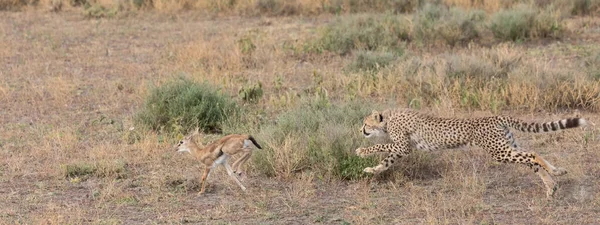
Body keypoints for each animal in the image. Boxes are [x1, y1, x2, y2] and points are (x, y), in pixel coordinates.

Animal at [356, 109, 584, 197]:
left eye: (365, 123)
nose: (360, 130)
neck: (388, 119)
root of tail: (495, 116)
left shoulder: (403, 146)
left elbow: (381, 147)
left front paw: (361, 151)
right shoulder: (400, 150)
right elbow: (386, 162)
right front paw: (371, 170)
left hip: (499, 151)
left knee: (533, 155)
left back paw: (553, 178)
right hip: (508, 146)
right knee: (531, 158)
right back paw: (553, 182)